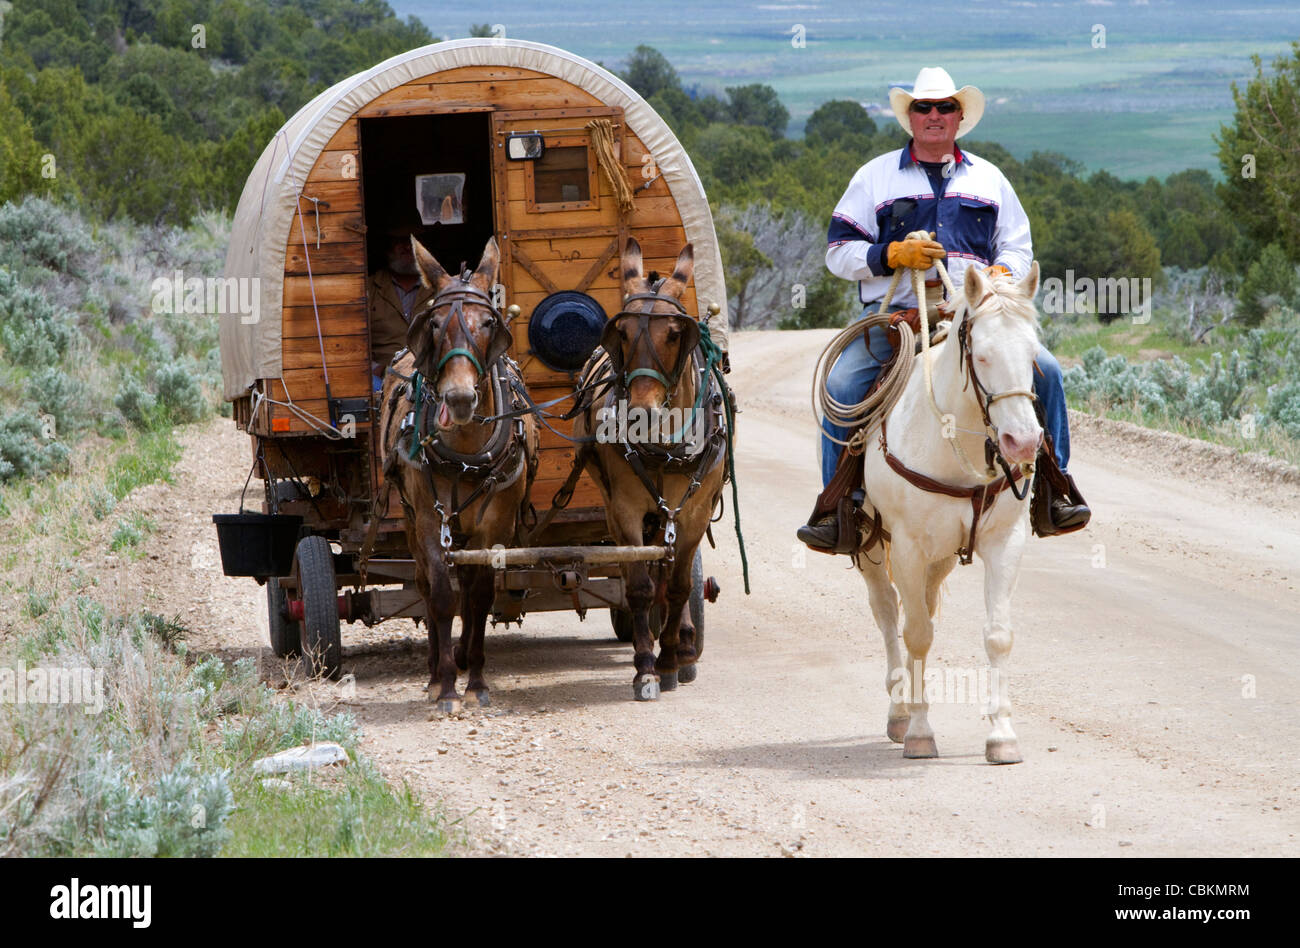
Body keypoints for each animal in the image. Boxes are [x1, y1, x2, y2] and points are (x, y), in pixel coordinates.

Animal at [863, 262, 1045, 764]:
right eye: (981, 356)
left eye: (1034, 355)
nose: (1023, 443)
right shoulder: (907, 547)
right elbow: (917, 634)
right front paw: (920, 732)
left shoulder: (1005, 541)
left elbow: (997, 635)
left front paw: (1002, 735)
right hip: (872, 546)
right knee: (889, 612)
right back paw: (899, 711)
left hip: (940, 557)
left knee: (919, 608)